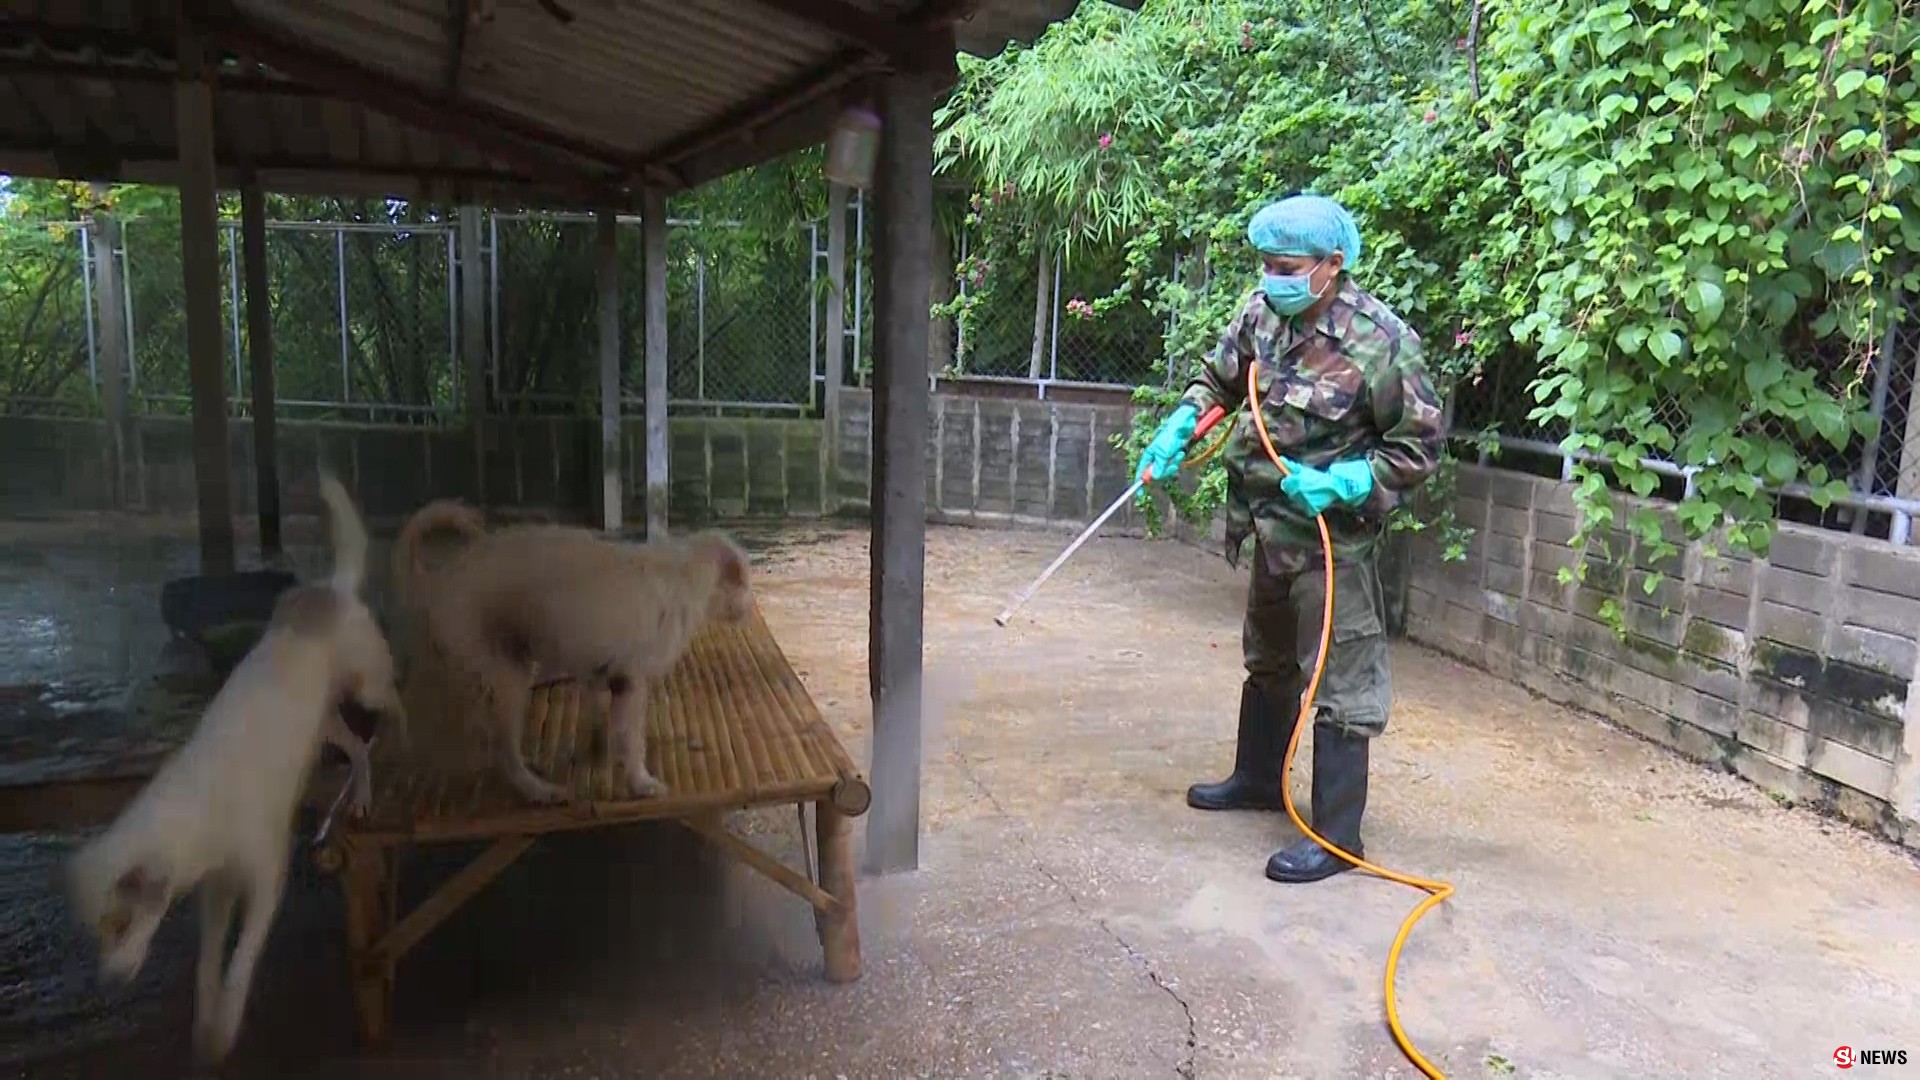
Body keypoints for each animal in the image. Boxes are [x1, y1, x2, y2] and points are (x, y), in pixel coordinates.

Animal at [60, 470, 405, 1060]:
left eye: (122, 923)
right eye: (100, 931)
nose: (108, 983)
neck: (197, 807)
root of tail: (330, 588)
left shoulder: (267, 879)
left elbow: (241, 960)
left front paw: (226, 1024)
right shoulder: (216, 890)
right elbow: (208, 961)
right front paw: (207, 1024)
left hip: (368, 685)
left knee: (397, 697)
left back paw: (405, 729)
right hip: (324, 724)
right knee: (357, 749)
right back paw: (359, 792)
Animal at [387, 503, 748, 799]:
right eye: (745, 584)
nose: (748, 607)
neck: (686, 576)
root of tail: (440, 582)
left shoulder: (602, 670)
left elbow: (600, 715)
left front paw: (599, 750)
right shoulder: (632, 681)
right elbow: (632, 740)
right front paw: (641, 783)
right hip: (511, 674)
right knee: (503, 752)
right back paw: (537, 790)